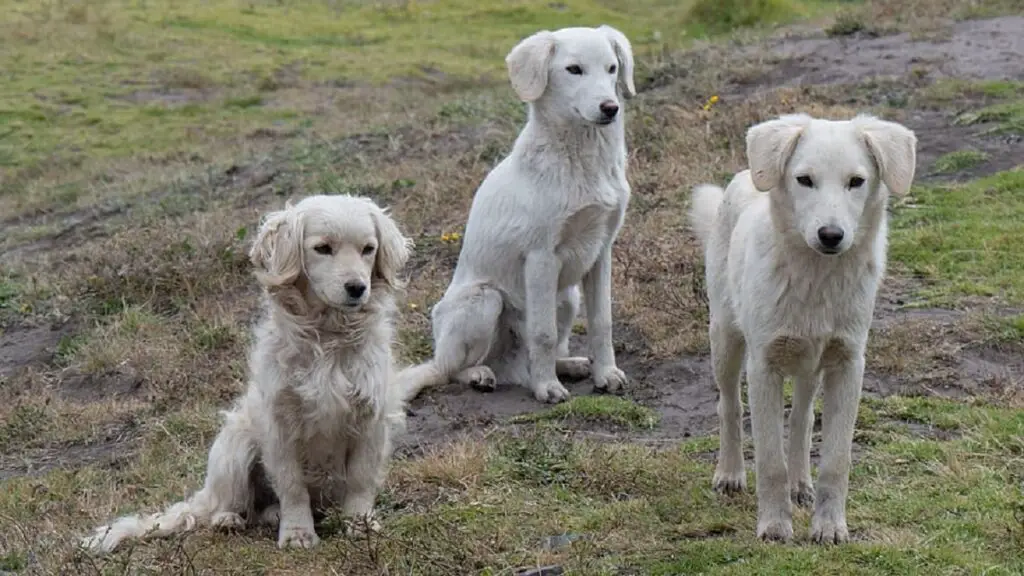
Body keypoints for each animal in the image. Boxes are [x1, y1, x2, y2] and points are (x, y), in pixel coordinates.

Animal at [80, 193, 428, 553]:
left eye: (368, 249)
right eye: (322, 248)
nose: (358, 287)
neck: (328, 337)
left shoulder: (371, 419)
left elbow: (360, 480)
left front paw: (359, 524)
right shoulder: (279, 425)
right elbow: (292, 486)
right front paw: (298, 533)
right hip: (235, 449)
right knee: (228, 505)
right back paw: (229, 519)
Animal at [403, 24, 634, 403]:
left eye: (612, 68)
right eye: (574, 70)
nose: (610, 108)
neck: (583, 163)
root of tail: (506, 366)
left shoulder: (601, 251)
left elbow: (602, 323)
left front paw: (606, 374)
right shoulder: (541, 257)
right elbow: (543, 334)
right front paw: (547, 388)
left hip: (567, 298)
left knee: (530, 357)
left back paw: (568, 365)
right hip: (484, 300)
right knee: (451, 369)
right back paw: (482, 375)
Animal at [688, 114, 921, 541]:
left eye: (856, 181)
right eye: (804, 180)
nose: (831, 235)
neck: (817, 280)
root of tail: (746, 173)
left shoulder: (848, 365)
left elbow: (835, 461)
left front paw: (829, 527)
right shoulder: (763, 366)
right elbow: (769, 460)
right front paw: (774, 526)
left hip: (810, 364)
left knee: (801, 420)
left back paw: (800, 484)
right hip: (725, 341)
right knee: (729, 406)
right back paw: (730, 473)